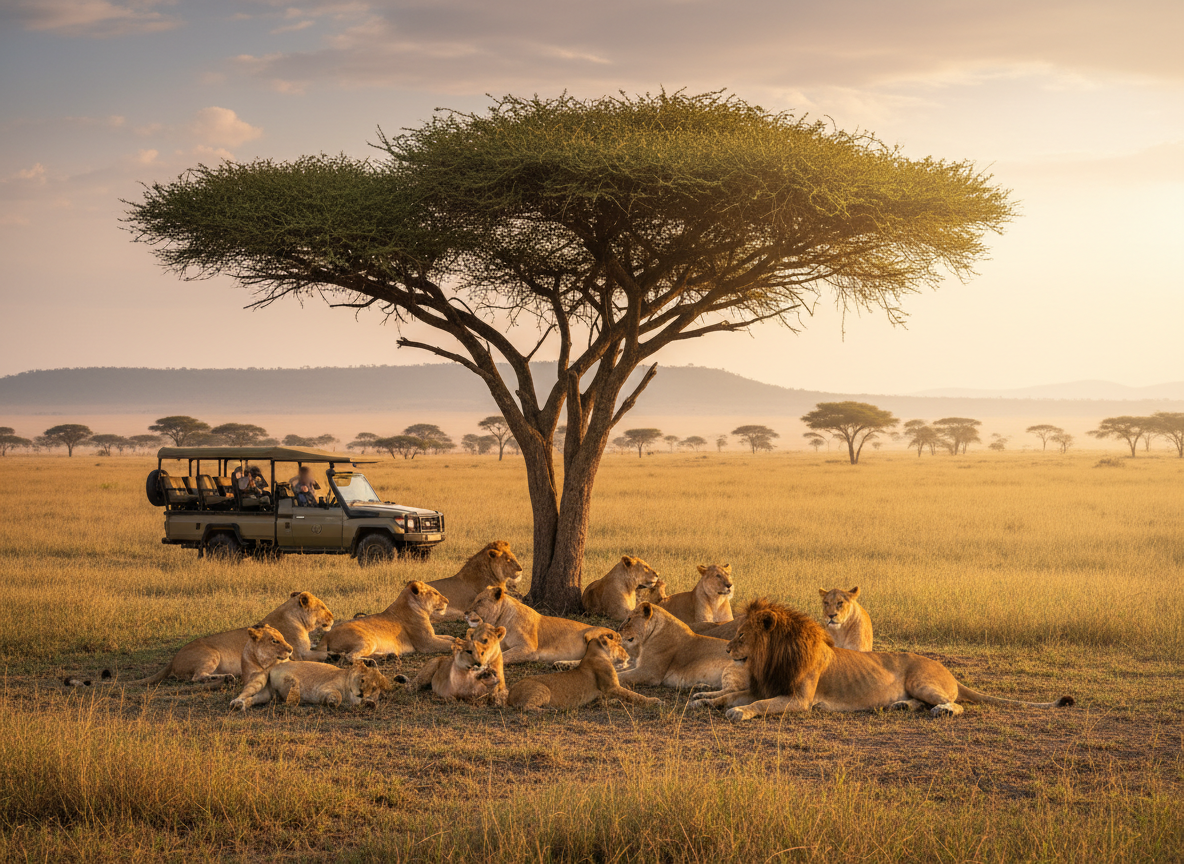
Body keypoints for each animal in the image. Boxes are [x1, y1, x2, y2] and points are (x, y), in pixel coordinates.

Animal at [78, 591, 333, 686]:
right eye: (322, 607)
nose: (332, 616)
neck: (293, 614)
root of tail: (172, 659)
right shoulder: (300, 652)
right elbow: (321, 654)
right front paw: (333, 655)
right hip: (211, 655)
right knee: (196, 677)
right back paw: (227, 678)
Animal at [320, 581, 452, 663]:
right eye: (435, 593)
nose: (447, 601)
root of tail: (326, 635)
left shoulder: (432, 636)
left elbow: (449, 637)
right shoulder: (427, 643)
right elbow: (450, 644)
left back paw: (388, 656)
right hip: (368, 640)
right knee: (350, 656)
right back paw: (370, 662)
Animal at [464, 585, 614, 664]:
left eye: (480, 601)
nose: (465, 612)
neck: (500, 619)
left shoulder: (529, 649)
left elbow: (503, 656)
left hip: (591, 635)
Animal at [507, 632, 662, 710]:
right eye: (619, 646)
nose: (627, 654)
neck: (595, 652)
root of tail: (510, 693)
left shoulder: (603, 693)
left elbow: (619, 698)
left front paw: (618, 703)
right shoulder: (612, 687)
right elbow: (635, 695)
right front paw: (655, 701)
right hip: (543, 690)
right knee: (526, 707)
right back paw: (548, 710)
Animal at [690, 598, 1075, 720]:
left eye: (742, 636)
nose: (727, 650)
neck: (773, 657)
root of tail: (950, 671)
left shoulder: (799, 700)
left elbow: (755, 705)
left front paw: (738, 712)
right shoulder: (765, 686)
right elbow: (729, 694)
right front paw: (703, 699)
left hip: (922, 681)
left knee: (955, 704)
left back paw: (943, 711)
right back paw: (901, 706)